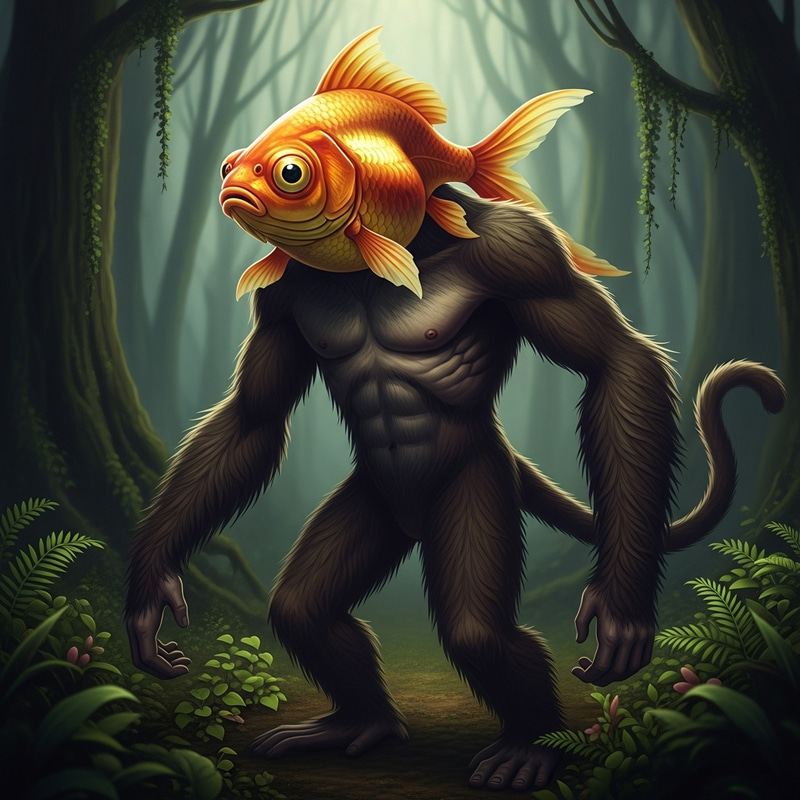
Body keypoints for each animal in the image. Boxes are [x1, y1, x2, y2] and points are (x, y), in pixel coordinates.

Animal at [125, 185, 785, 792]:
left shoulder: (523, 252)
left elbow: (615, 363)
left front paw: (620, 602)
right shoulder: (280, 297)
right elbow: (254, 417)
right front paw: (151, 586)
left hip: (478, 486)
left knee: (476, 633)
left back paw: (532, 746)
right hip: (375, 505)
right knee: (302, 609)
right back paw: (362, 722)